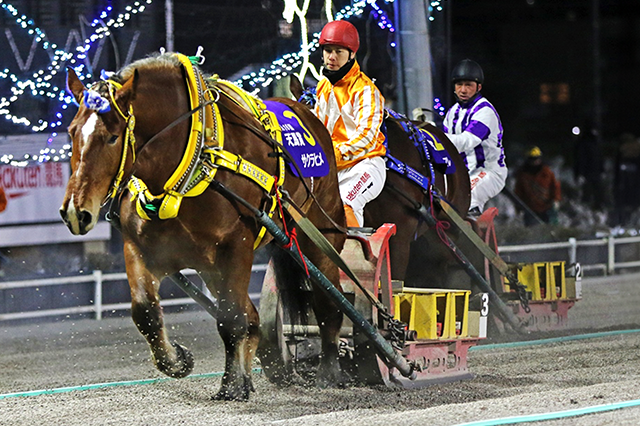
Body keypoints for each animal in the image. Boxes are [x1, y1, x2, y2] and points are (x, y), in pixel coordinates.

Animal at [61, 52, 344, 400]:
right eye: (72, 132)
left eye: (113, 136)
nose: (76, 212)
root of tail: (305, 109)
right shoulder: (140, 249)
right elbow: (145, 313)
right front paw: (178, 360)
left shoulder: (237, 245)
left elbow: (231, 317)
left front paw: (232, 384)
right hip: (210, 264)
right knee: (252, 318)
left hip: (318, 232)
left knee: (328, 302)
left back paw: (329, 370)